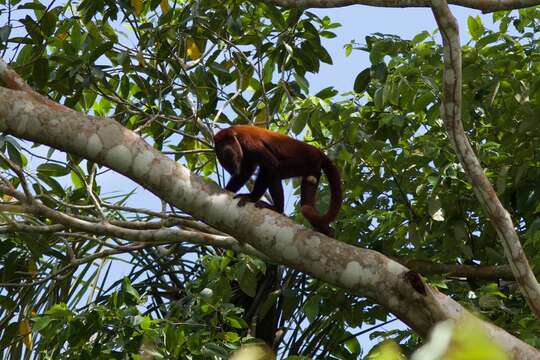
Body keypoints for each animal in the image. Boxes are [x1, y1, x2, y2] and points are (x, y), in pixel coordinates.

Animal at [212, 125, 342, 235]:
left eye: (229, 142)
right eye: (221, 144)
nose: (227, 148)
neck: (235, 135)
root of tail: (316, 151)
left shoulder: (248, 142)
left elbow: (270, 165)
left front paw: (251, 197)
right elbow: (244, 173)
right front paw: (227, 189)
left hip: (304, 163)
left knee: (274, 170)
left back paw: (277, 209)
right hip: (313, 171)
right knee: (306, 200)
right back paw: (326, 231)